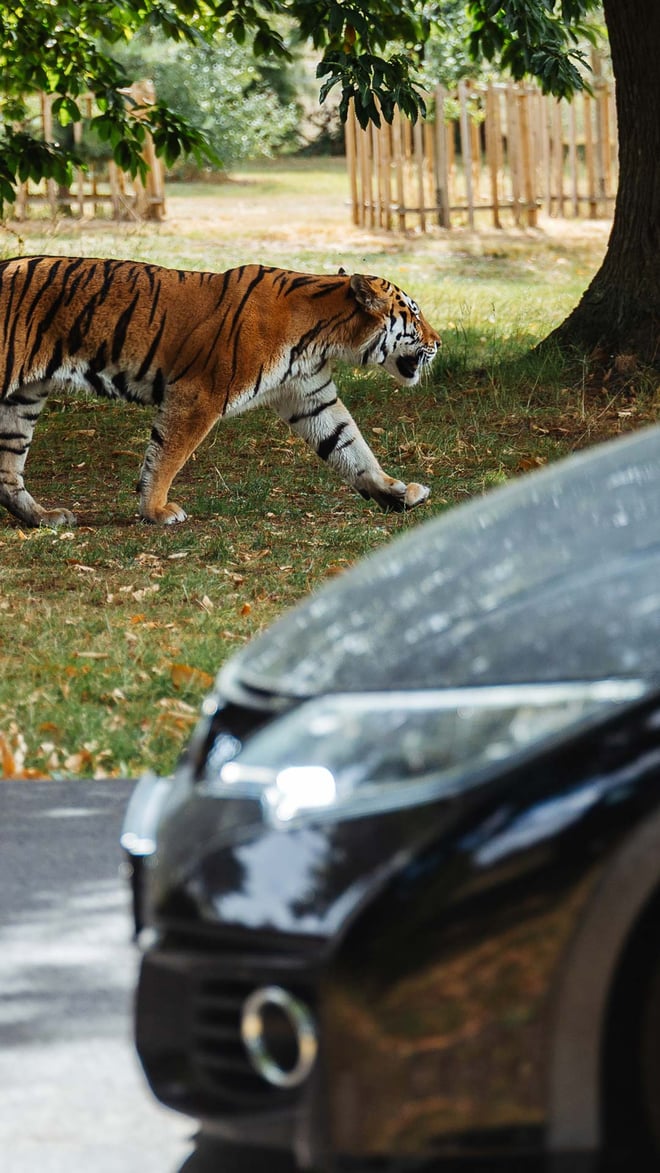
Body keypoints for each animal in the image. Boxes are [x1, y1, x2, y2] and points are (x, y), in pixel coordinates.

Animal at [0, 256, 440, 528]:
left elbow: (351, 446)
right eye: (415, 313)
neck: (325, 336)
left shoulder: (311, 398)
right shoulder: (198, 395)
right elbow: (166, 457)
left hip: (22, 400)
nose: (439, 342)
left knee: (8, 473)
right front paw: (156, 510)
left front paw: (398, 494)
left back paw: (43, 517)